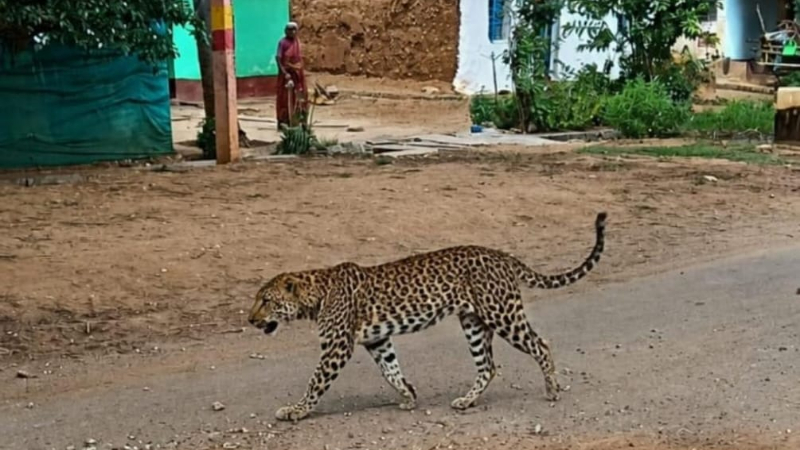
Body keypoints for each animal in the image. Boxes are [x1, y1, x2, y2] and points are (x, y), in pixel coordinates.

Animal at [248, 212, 607, 422]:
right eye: (256, 300)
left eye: (266, 300)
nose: (250, 320)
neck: (315, 294)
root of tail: (500, 255)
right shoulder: (378, 339)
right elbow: (390, 370)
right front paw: (408, 396)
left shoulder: (337, 347)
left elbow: (315, 382)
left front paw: (296, 410)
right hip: (474, 322)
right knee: (488, 366)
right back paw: (466, 401)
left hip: (502, 313)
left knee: (540, 344)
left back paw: (551, 389)